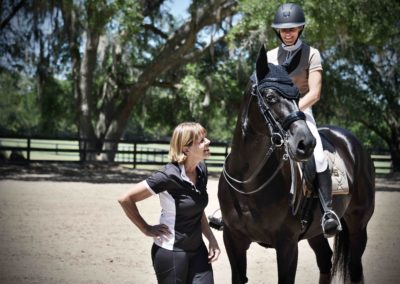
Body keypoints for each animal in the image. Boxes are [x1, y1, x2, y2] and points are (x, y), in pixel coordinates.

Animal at [217, 45, 374, 282]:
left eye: (298, 96)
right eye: (270, 96)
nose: (306, 143)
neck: (248, 182)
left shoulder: (287, 244)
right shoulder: (233, 240)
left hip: (358, 226)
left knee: (355, 267)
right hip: (315, 232)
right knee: (325, 260)